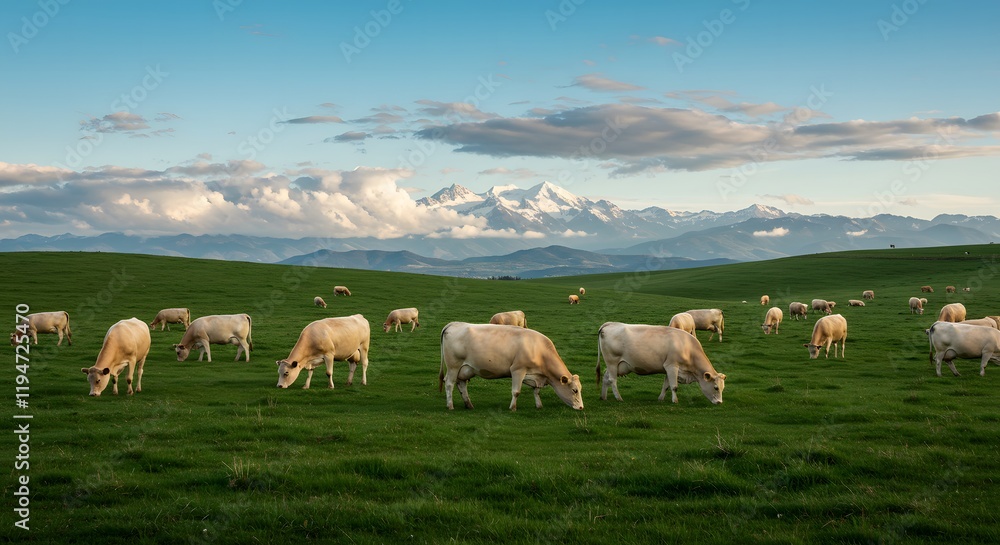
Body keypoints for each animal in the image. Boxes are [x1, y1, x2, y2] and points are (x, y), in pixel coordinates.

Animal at [438, 322, 583, 411]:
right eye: (574, 390)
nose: (581, 407)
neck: (538, 350)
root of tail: (454, 324)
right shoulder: (518, 370)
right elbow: (516, 391)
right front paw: (512, 408)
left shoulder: (536, 375)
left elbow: (536, 391)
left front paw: (539, 405)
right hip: (453, 366)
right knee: (449, 383)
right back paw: (450, 406)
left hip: (465, 369)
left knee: (461, 384)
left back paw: (469, 405)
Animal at [596, 322, 726, 404]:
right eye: (715, 388)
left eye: (722, 388)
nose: (719, 402)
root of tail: (610, 324)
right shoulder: (672, 366)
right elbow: (674, 386)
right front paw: (675, 401)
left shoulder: (669, 369)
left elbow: (666, 385)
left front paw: (661, 398)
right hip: (612, 362)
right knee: (612, 380)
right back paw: (619, 398)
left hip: (616, 366)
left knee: (606, 377)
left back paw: (603, 397)